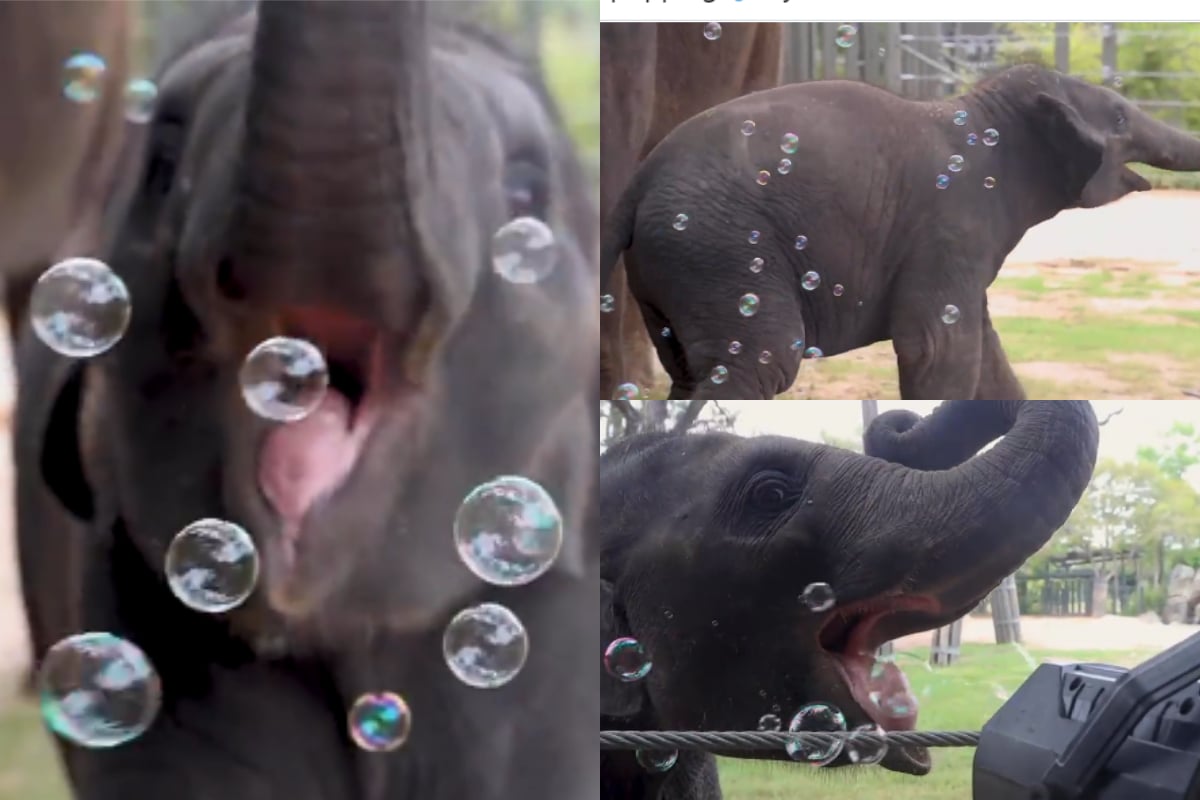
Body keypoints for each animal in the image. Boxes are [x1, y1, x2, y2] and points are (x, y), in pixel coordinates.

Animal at [604, 64, 1200, 400]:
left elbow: (982, 352)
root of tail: (636, 184)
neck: (982, 114)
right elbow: (936, 348)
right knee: (758, 364)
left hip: (681, 262)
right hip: (718, 250)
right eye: (1119, 118)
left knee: (688, 372)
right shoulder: (951, 222)